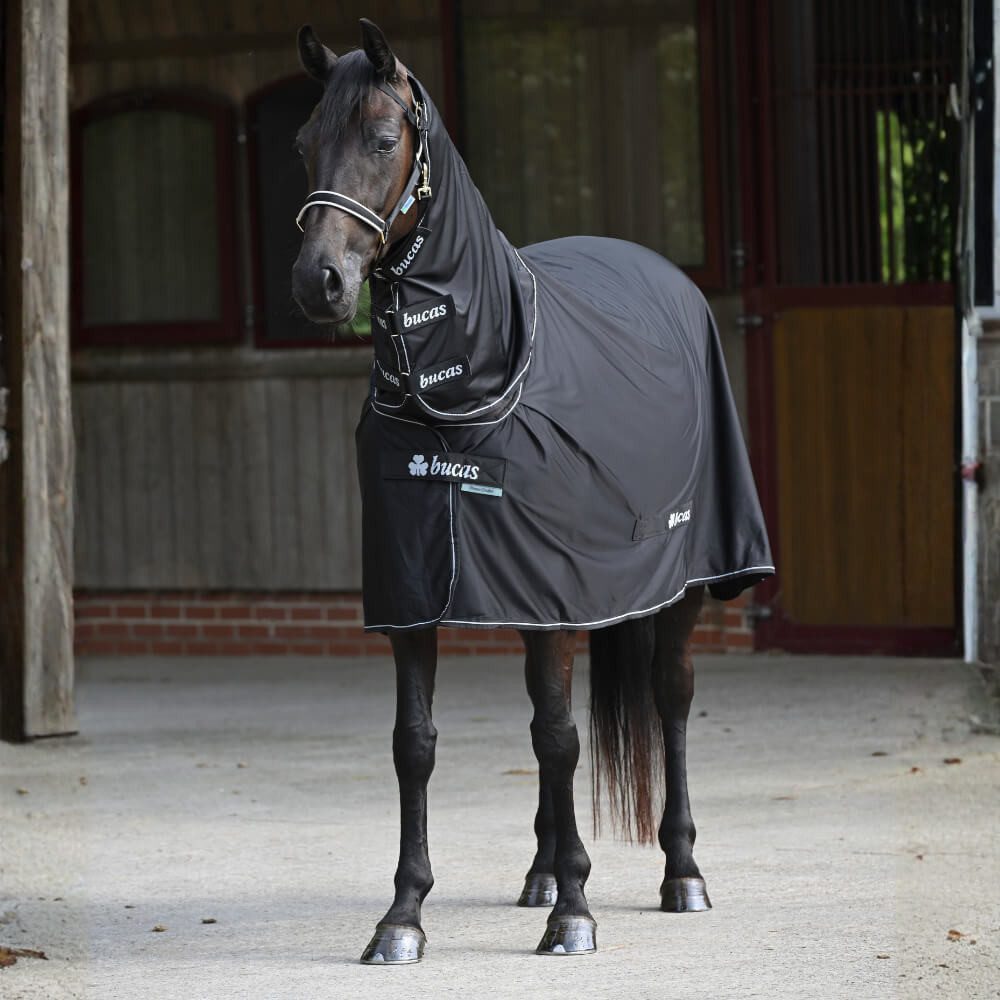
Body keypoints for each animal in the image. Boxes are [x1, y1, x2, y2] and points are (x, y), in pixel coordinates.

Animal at [290, 19, 773, 963]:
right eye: (301, 145)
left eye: (383, 138)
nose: (318, 282)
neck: (463, 389)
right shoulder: (420, 597)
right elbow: (417, 745)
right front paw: (403, 916)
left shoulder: (558, 596)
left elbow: (560, 737)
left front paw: (576, 915)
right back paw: (544, 870)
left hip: (686, 585)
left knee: (669, 698)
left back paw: (680, 874)